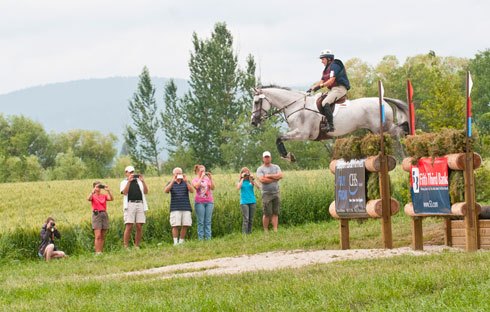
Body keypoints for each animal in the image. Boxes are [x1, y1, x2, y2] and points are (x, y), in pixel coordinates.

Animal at [249, 86, 410, 162]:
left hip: (381, 128)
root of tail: (382, 100)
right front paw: (288, 156)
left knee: (398, 132)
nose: (253, 122)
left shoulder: (303, 133)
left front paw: (288, 156)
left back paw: (404, 151)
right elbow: (279, 138)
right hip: (377, 130)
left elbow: (278, 137)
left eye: (256, 102)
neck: (296, 105)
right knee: (397, 131)